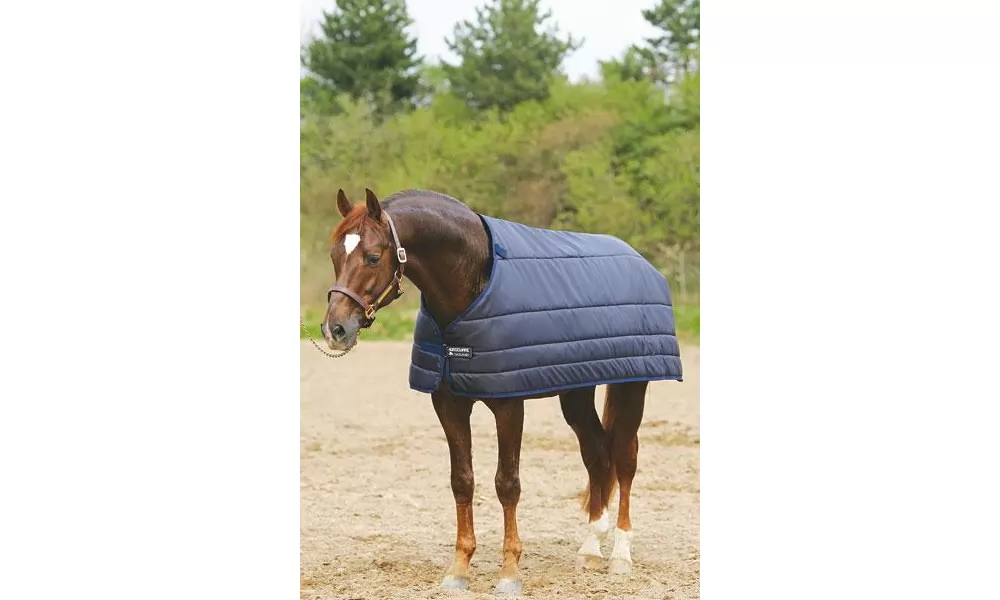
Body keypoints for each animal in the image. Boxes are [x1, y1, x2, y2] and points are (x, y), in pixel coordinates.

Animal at [320, 187, 682, 596]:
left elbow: (507, 484)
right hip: (576, 391)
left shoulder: (509, 405)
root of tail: (641, 262)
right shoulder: (449, 404)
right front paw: (459, 569)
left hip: (632, 386)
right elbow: (462, 481)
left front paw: (509, 572)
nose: (335, 329)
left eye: (373, 256)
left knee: (624, 458)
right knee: (596, 454)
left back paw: (621, 555)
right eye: (334, 256)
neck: (471, 290)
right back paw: (590, 549)